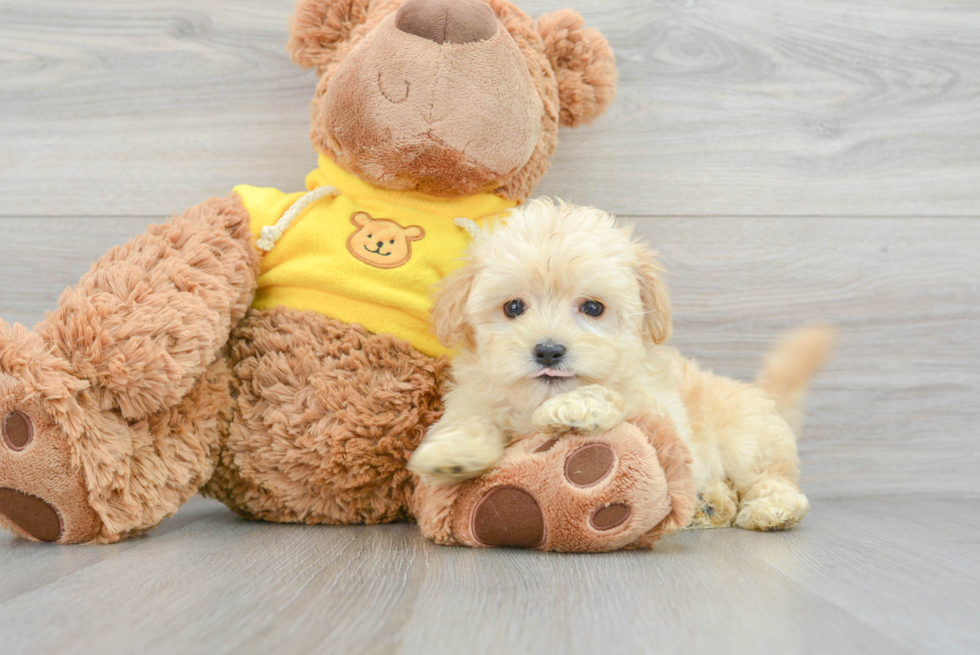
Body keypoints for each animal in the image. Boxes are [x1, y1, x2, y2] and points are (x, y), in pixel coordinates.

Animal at [410, 200, 832, 532]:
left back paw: (773, 508)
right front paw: (451, 453)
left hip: (746, 439)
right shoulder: (475, 397)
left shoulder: (665, 413)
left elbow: (619, 397)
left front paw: (577, 405)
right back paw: (708, 505)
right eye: (513, 307)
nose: (548, 351)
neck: (536, 401)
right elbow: (470, 419)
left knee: (769, 477)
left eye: (593, 307)